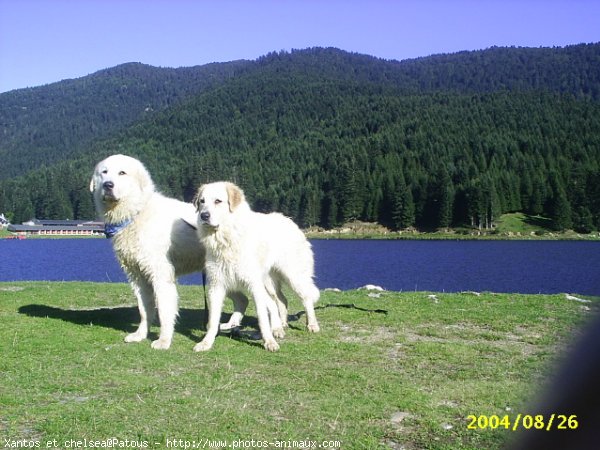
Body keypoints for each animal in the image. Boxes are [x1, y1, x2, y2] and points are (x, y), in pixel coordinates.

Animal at [88, 156, 248, 350]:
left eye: (122, 173)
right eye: (104, 172)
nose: (108, 185)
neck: (137, 212)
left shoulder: (160, 274)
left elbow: (164, 310)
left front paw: (164, 340)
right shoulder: (138, 277)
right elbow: (144, 310)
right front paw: (140, 335)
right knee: (243, 300)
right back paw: (231, 324)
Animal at [193, 182, 324, 352]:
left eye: (218, 201)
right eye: (202, 201)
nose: (204, 216)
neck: (227, 239)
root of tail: (289, 221)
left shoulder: (254, 285)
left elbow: (262, 318)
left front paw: (269, 342)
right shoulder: (217, 285)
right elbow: (213, 320)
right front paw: (206, 342)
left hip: (293, 276)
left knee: (306, 298)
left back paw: (311, 325)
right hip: (268, 282)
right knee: (280, 301)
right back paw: (280, 326)